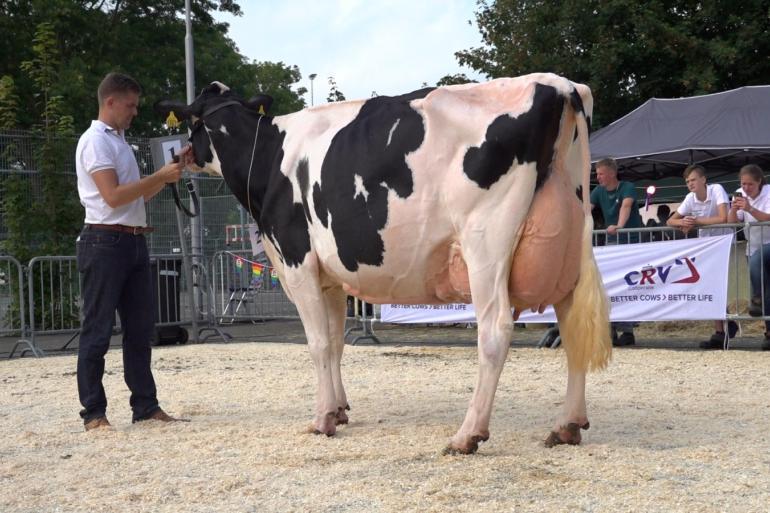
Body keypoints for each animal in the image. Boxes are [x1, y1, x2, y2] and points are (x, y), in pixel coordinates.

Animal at [158, 74, 612, 454]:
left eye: (192, 122)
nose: (180, 156)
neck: (268, 157)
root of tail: (558, 85)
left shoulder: (296, 260)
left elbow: (318, 343)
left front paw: (322, 419)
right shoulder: (330, 277)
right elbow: (336, 342)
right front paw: (339, 409)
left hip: (486, 241)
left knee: (496, 329)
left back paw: (467, 434)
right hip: (570, 240)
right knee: (573, 324)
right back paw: (567, 425)